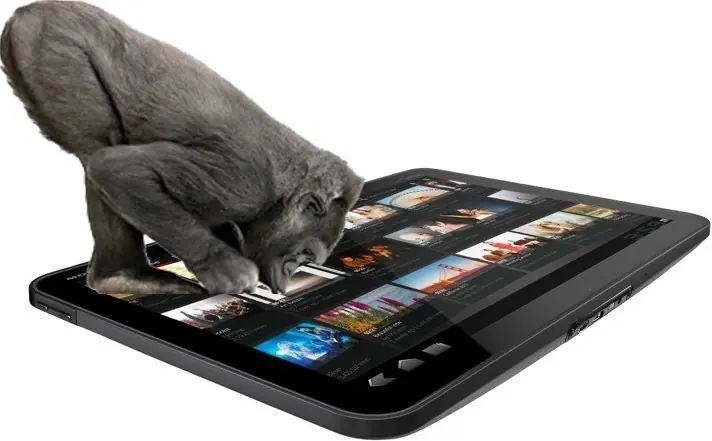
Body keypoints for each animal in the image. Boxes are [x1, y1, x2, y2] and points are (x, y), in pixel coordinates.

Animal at [1, 1, 364, 296]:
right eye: (304, 255)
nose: (288, 278)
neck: (281, 194)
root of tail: (27, 10)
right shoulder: (244, 183)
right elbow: (120, 171)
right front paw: (223, 267)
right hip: (49, 43)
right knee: (97, 151)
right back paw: (121, 276)